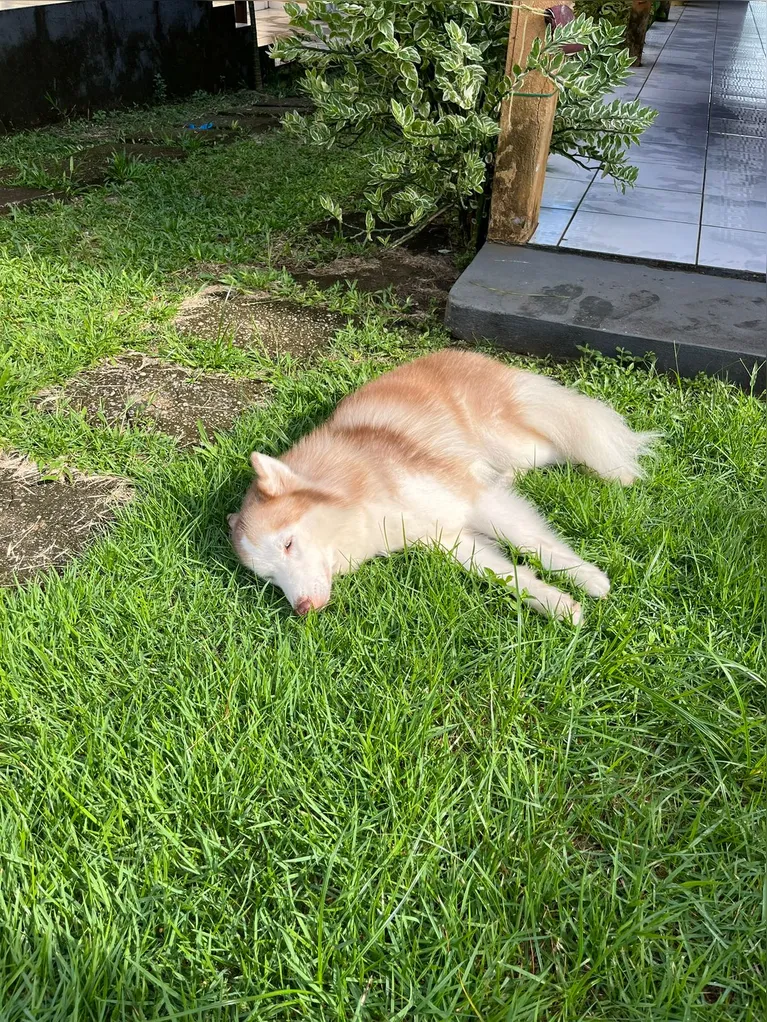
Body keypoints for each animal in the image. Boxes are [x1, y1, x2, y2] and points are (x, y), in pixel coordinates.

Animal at [228, 351, 654, 621]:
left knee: (568, 436)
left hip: (514, 441)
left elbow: (534, 543)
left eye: (288, 544)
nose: (304, 610)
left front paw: (587, 577)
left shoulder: (474, 502)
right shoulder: (445, 539)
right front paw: (556, 603)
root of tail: (458, 353)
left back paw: (617, 470)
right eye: (269, 578)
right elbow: (506, 573)